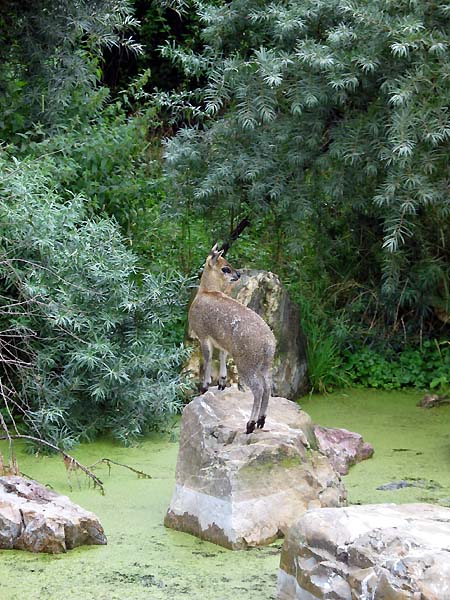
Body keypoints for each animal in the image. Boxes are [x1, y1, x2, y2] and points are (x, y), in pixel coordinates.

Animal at [189, 246, 276, 434]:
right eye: (225, 268)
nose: (238, 274)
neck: (206, 292)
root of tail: (269, 344)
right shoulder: (221, 342)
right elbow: (222, 356)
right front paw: (221, 382)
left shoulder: (203, 335)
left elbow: (207, 359)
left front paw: (205, 386)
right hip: (265, 365)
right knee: (268, 386)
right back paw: (261, 420)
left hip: (246, 365)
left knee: (258, 389)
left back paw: (250, 424)